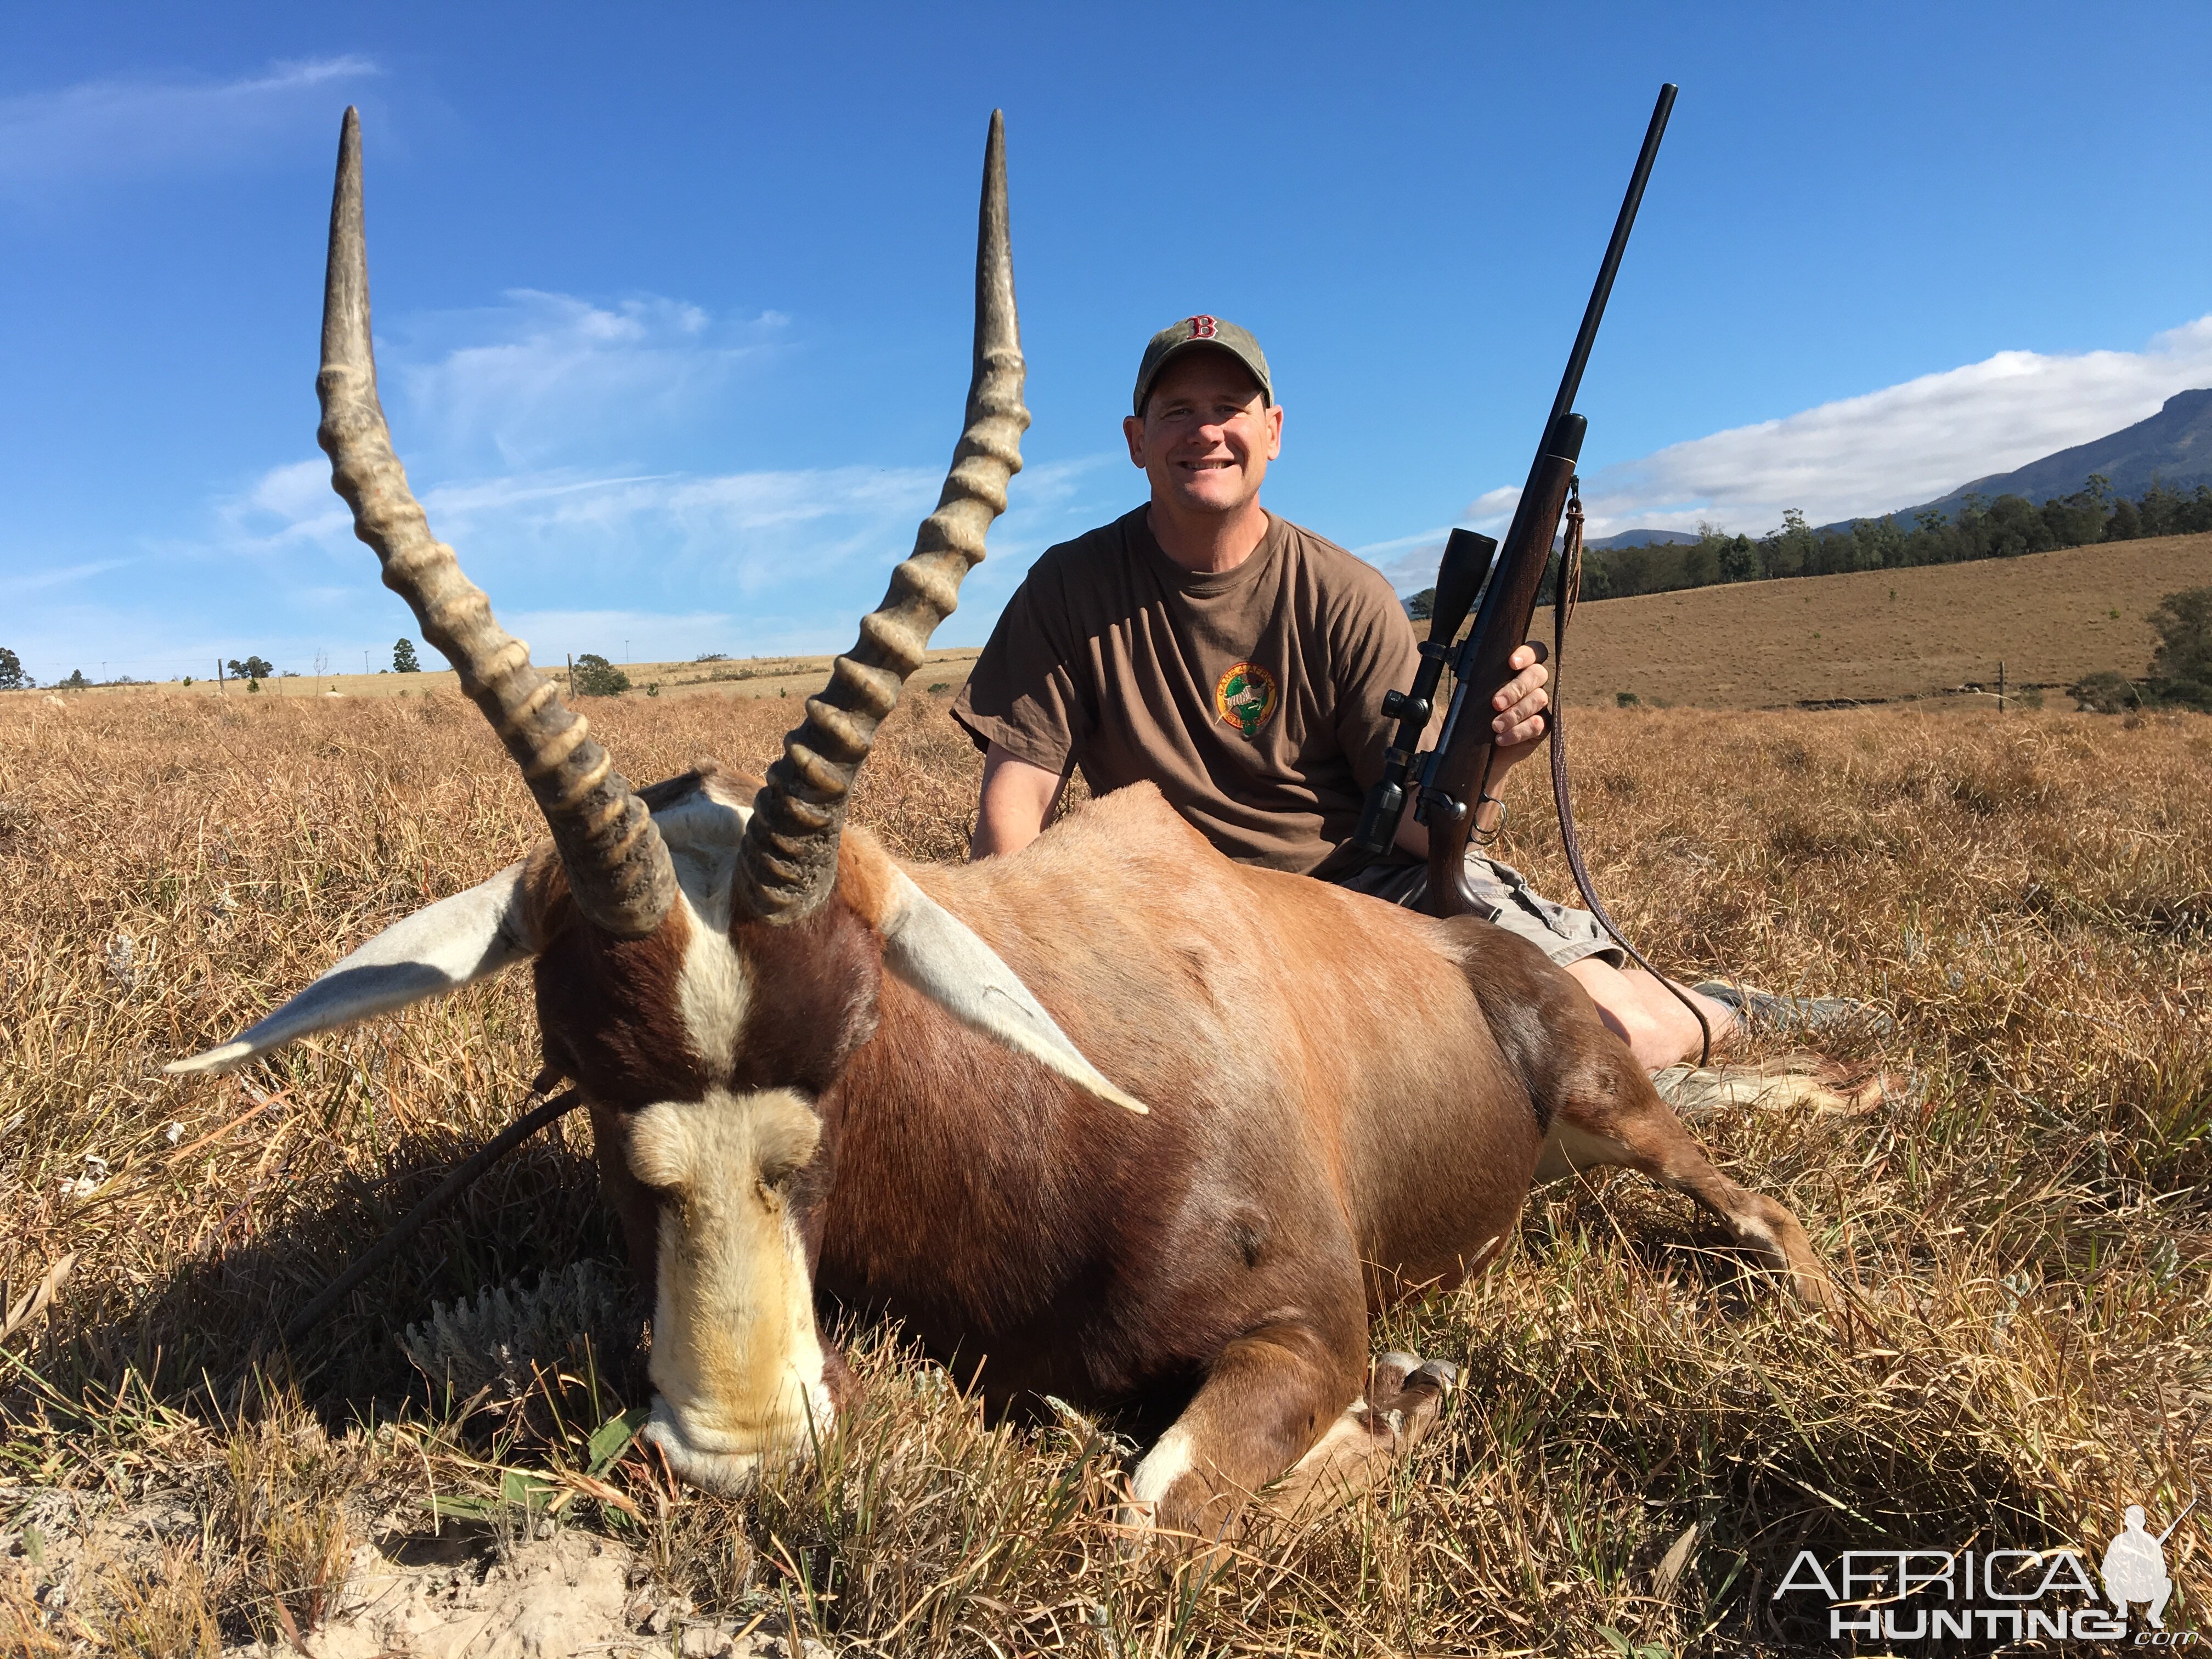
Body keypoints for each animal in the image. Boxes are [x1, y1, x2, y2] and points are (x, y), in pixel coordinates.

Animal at [168, 114, 1831, 1548]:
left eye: (855, 1046)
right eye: (570, 1066)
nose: (735, 1454)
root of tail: (1471, 952)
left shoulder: (1305, 1328)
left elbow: (1148, 1514)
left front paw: (1409, 1399)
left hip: (1621, 1108)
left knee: (1760, 1211)